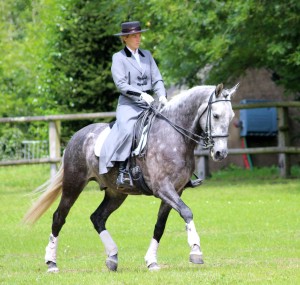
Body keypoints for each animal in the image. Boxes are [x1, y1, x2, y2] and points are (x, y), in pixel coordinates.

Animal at [22, 82, 239, 270]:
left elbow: (160, 226)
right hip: (73, 184)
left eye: (231, 117)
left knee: (97, 218)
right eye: (216, 115)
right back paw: (51, 263)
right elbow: (187, 212)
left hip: (116, 193)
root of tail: (78, 136)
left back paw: (112, 257)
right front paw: (196, 251)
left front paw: (151, 261)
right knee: (59, 217)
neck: (174, 136)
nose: (220, 153)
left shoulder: (175, 191)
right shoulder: (163, 188)